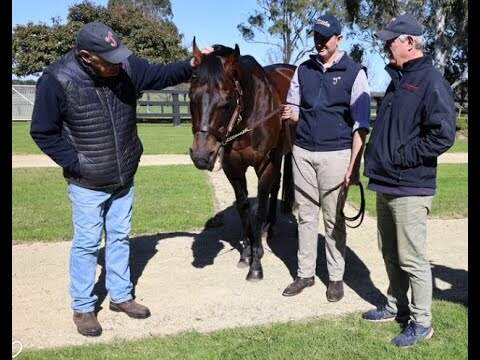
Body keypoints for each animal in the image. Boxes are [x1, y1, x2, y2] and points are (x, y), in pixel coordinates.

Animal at [188, 38, 296, 282]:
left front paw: (256, 264)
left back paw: (269, 229)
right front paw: (247, 252)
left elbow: (260, 208)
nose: (201, 157)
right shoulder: (233, 168)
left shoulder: (265, 165)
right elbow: (244, 206)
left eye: (226, 102)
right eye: (191, 98)